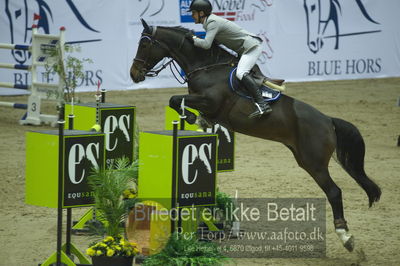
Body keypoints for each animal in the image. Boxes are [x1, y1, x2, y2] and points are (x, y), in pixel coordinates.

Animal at [129, 18, 382, 251]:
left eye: (144, 44)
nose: (134, 74)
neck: (206, 66)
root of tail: (328, 121)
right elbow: (178, 102)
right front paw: (196, 120)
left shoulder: (210, 101)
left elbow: (175, 99)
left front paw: (191, 118)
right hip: (304, 158)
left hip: (314, 163)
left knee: (334, 192)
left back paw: (346, 237)